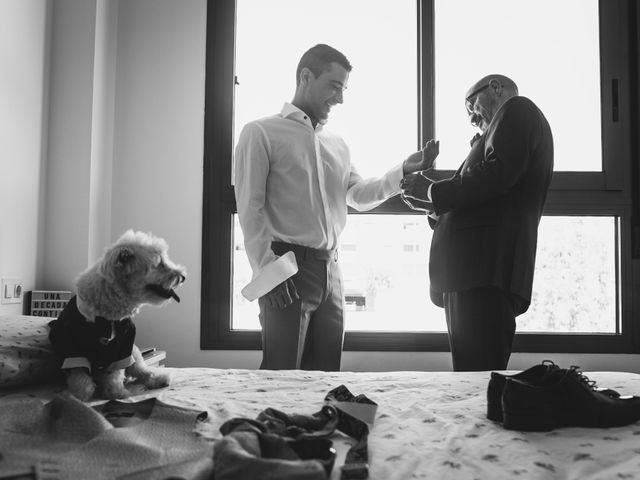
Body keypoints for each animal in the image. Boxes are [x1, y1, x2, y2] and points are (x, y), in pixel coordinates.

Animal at [47, 229, 186, 402]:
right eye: (160, 263)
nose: (183, 277)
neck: (106, 316)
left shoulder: (123, 348)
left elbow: (115, 375)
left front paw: (116, 393)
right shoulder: (71, 348)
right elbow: (82, 381)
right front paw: (76, 397)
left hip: (134, 353)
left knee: (143, 372)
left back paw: (157, 380)